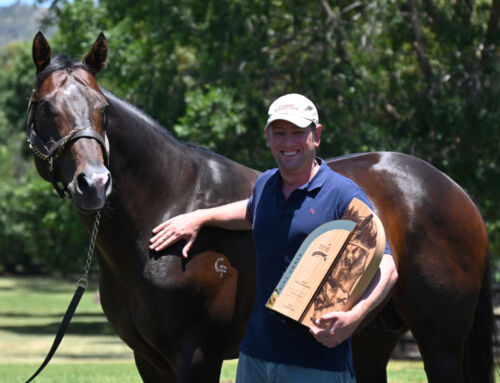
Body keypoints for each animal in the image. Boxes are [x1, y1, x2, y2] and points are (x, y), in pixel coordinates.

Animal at [27, 33, 492, 383]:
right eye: (45, 107)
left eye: (103, 109)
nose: (94, 184)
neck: (165, 206)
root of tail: (457, 192)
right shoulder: (149, 361)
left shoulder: (198, 354)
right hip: (369, 336)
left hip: (441, 344)